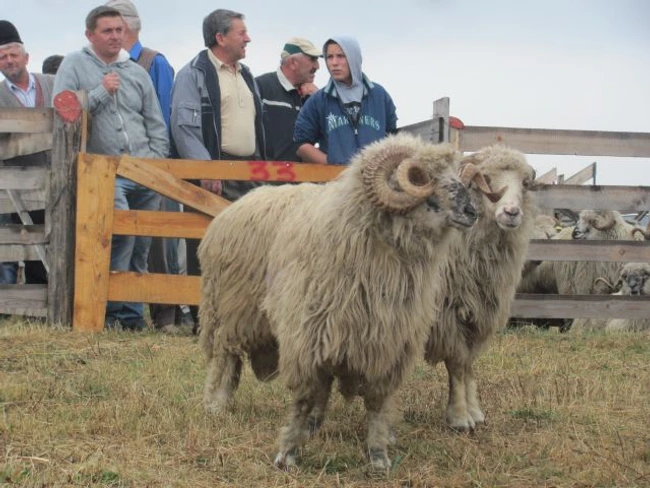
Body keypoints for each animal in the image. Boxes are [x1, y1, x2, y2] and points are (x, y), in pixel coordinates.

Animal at [198, 133, 484, 470]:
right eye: (420, 177)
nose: (472, 211)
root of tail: (241, 201)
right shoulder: (306, 336)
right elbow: (304, 396)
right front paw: (287, 453)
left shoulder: (388, 343)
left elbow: (376, 401)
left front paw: (378, 454)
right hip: (231, 310)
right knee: (226, 357)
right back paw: (217, 403)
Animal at [423, 144, 538, 431]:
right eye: (485, 178)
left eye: (525, 184)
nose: (511, 213)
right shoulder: (447, 314)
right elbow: (457, 364)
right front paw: (459, 417)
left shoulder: (480, 314)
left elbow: (470, 365)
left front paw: (474, 411)